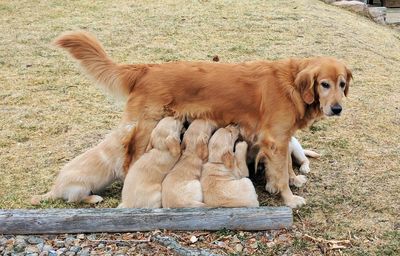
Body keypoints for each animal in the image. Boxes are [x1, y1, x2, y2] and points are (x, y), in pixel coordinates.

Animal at [55, 31, 350, 208]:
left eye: (342, 84)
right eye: (324, 84)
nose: (337, 109)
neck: (291, 85)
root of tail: (146, 69)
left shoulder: (281, 138)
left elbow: (285, 165)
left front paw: (292, 179)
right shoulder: (275, 139)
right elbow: (279, 172)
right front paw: (289, 198)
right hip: (146, 126)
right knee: (130, 159)